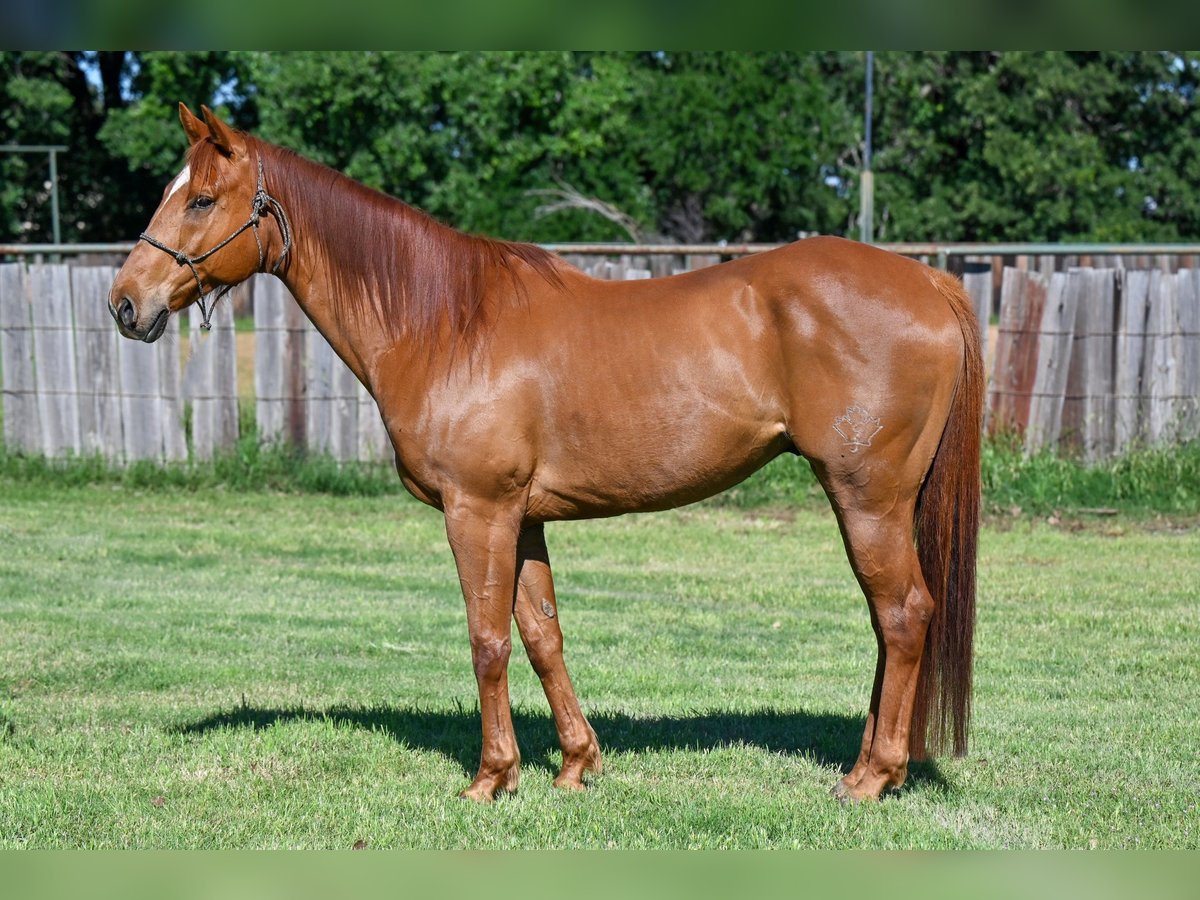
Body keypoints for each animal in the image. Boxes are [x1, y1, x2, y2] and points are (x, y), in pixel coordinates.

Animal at [110, 103, 982, 803]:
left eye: (200, 199)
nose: (125, 303)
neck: (447, 323)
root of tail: (929, 284)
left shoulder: (478, 510)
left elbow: (487, 639)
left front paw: (492, 778)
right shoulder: (524, 518)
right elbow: (541, 635)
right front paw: (574, 765)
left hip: (867, 497)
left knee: (903, 614)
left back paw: (873, 778)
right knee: (888, 622)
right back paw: (870, 764)